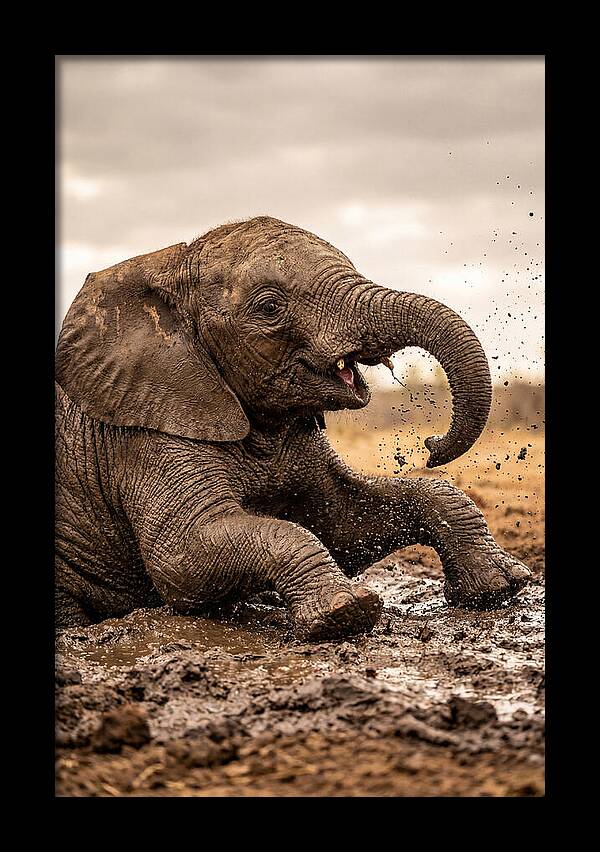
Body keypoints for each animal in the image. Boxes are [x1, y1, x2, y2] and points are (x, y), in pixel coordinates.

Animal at [55, 216, 531, 639]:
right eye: (270, 307)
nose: (431, 445)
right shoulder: (146, 434)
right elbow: (182, 559)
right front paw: (345, 612)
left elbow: (345, 523)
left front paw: (501, 587)